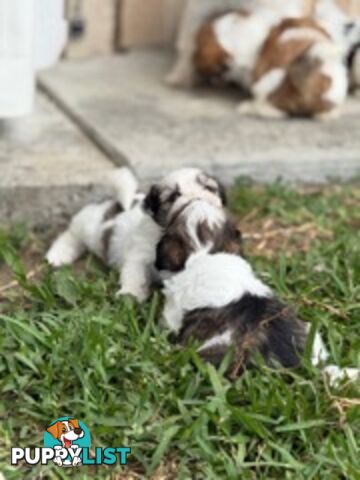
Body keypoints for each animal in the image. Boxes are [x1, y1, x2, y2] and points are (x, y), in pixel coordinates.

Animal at [46, 166, 226, 300]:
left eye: (209, 188)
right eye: (174, 196)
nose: (197, 199)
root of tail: (114, 202)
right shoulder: (140, 254)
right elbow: (135, 274)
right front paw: (130, 294)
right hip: (89, 226)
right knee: (72, 235)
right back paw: (58, 255)